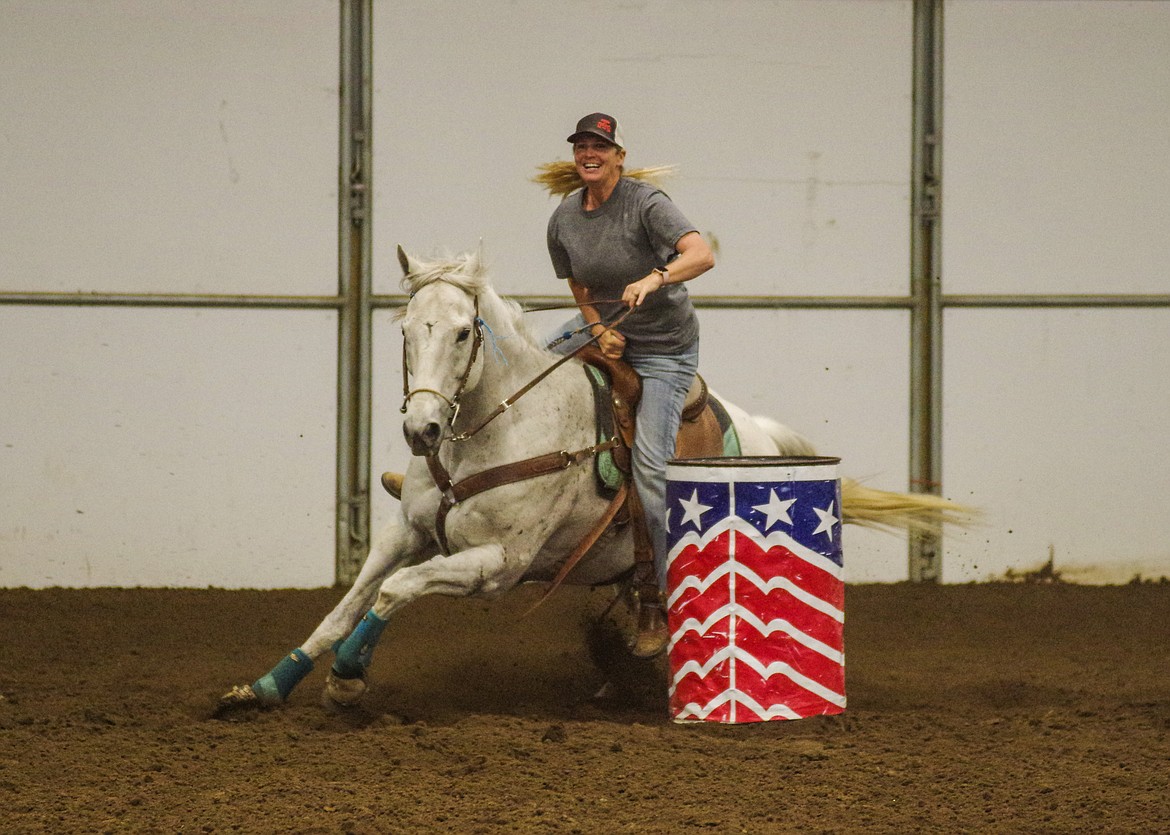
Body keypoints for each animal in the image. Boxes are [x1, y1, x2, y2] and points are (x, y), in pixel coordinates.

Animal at [215, 244, 964, 711]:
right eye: (407, 330)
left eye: (462, 333)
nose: (421, 430)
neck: (496, 428)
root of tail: (753, 430)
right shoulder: (406, 533)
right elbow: (345, 604)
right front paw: (265, 687)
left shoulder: (497, 565)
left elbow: (396, 592)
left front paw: (347, 680)